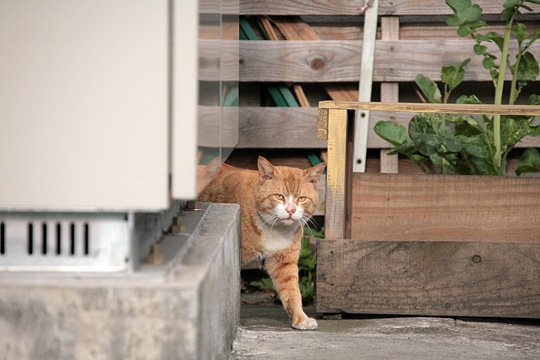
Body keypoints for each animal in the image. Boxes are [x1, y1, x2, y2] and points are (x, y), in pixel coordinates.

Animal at [199, 156, 322, 330]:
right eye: (279, 196)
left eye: (301, 199)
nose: (290, 210)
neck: (275, 228)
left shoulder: (283, 262)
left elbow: (292, 292)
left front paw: (300, 318)